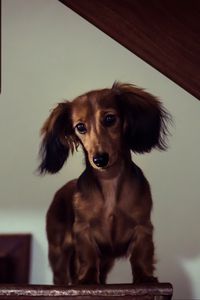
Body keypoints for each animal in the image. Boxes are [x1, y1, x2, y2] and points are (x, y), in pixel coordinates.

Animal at [38, 82, 170, 286]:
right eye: (80, 127)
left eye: (109, 119)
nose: (99, 159)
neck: (110, 180)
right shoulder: (83, 231)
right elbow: (88, 257)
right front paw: (86, 280)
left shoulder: (143, 227)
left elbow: (141, 255)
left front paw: (145, 278)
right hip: (58, 251)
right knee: (60, 276)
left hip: (107, 259)